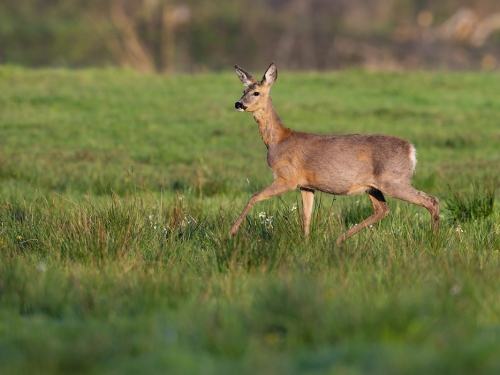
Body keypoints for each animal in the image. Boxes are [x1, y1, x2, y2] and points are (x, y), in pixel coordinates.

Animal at [229, 61, 440, 244]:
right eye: (243, 90)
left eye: (256, 92)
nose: (238, 104)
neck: (278, 139)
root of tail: (411, 150)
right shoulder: (306, 185)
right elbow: (306, 216)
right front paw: (306, 243)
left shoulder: (287, 177)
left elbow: (254, 196)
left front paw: (231, 232)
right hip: (373, 186)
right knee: (382, 209)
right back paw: (339, 239)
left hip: (394, 180)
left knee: (431, 200)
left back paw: (434, 241)